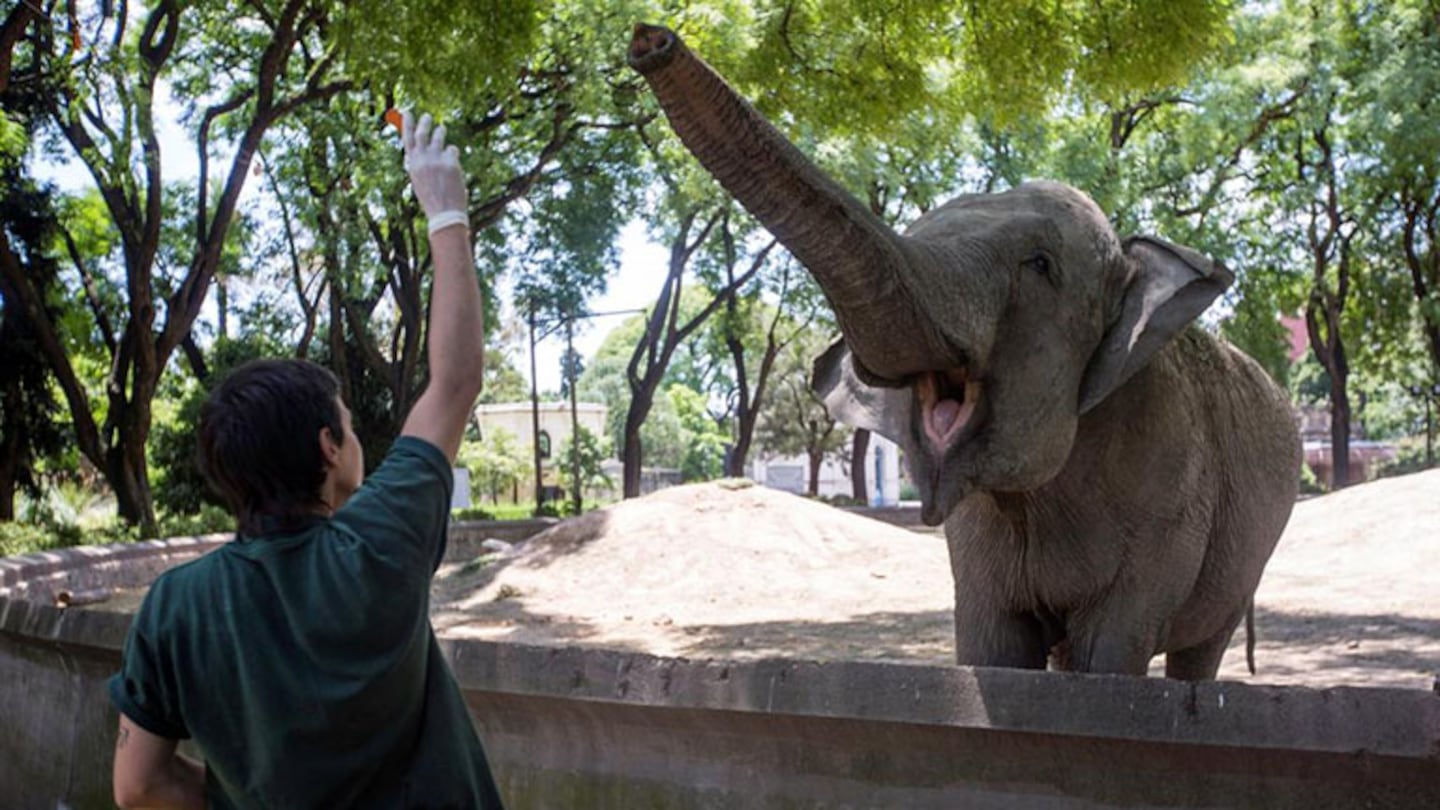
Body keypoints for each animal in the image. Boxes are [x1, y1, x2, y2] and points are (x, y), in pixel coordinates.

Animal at [630, 23, 1307, 674]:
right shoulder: (976, 544)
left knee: (1200, 653)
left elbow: (1110, 656)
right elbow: (992, 650)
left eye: (1040, 265)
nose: (650, 39)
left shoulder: (1168, 501)